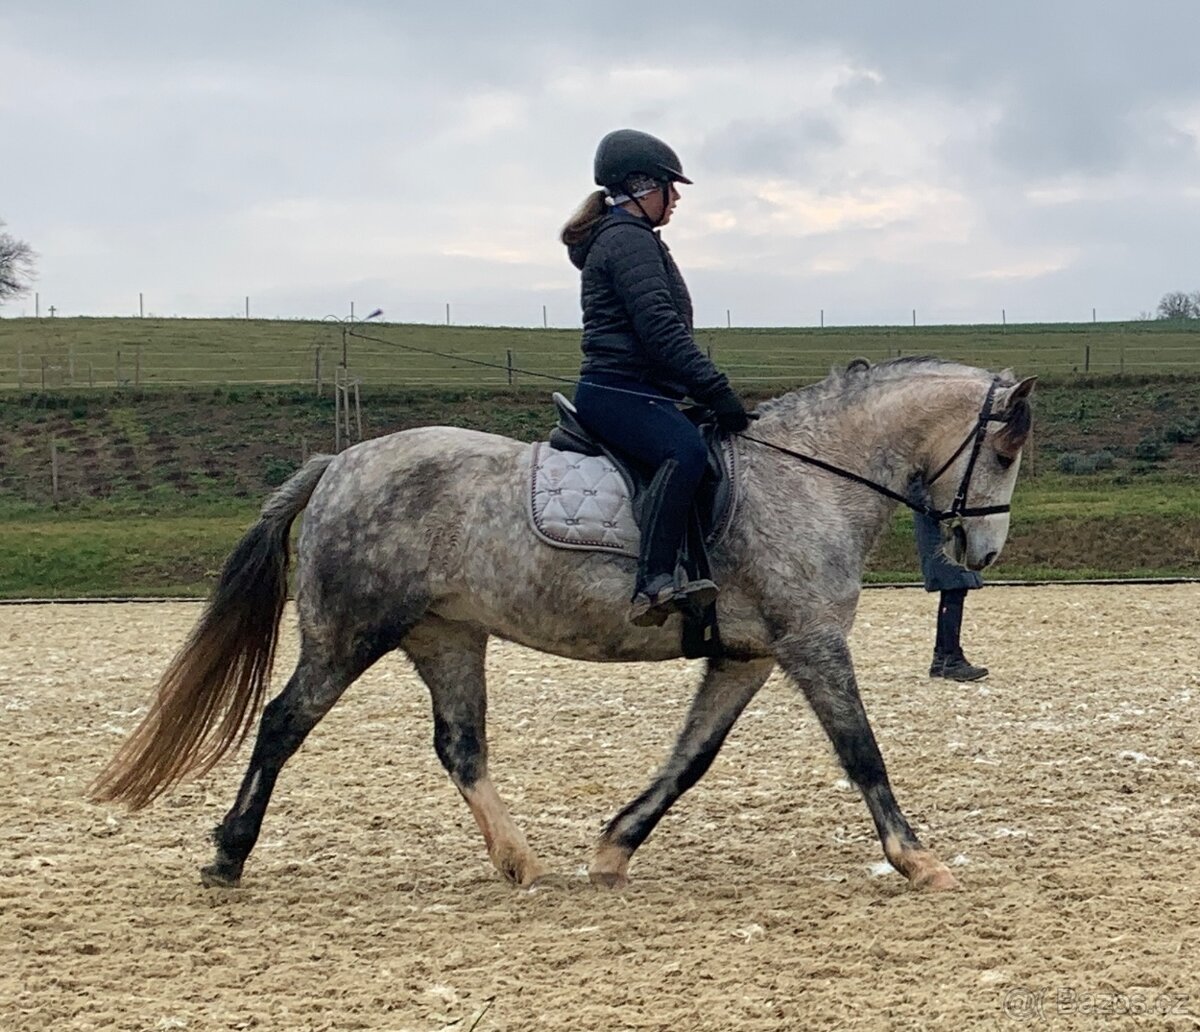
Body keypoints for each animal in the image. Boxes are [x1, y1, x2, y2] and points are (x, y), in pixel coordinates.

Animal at [90, 357, 1035, 894]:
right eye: (1005, 448)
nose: (981, 552)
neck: (810, 476)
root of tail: (340, 461)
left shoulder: (749, 657)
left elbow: (691, 760)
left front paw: (614, 850)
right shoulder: (810, 643)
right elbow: (862, 751)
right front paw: (917, 859)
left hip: (446, 636)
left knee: (460, 747)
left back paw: (521, 862)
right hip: (348, 634)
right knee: (283, 723)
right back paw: (228, 855)